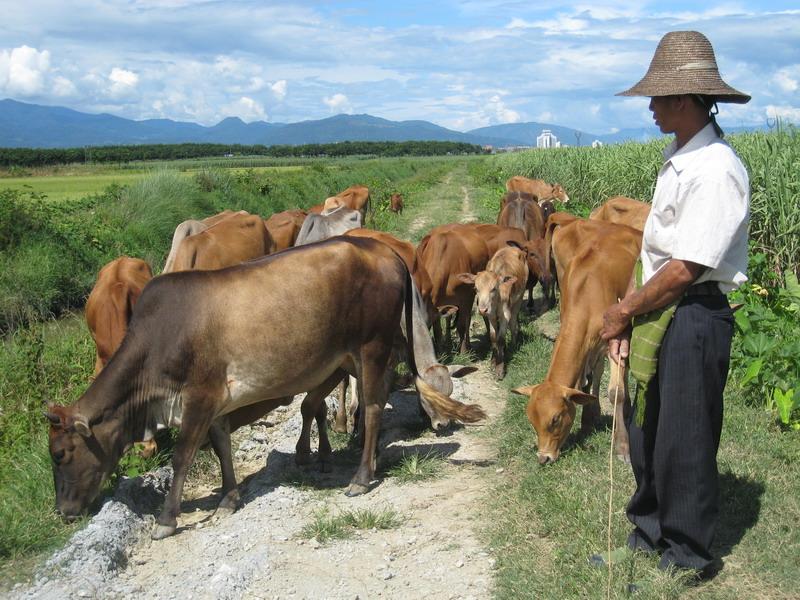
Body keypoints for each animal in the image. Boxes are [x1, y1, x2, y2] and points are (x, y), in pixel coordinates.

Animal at [50, 238, 488, 540]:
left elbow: (181, 458)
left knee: (374, 407)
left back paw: (361, 477)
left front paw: (166, 520)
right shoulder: (217, 402)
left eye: (60, 454)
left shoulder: (197, 398)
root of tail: (385, 251)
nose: (63, 511)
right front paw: (228, 498)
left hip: (373, 348)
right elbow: (222, 447)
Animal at [460, 245, 528, 378]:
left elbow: (500, 339)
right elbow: (493, 337)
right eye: (476, 288)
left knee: (513, 324)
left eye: (494, 288)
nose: (482, 309)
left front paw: (499, 369)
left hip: (519, 298)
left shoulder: (505, 315)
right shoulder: (490, 315)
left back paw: (513, 346)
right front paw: (493, 362)